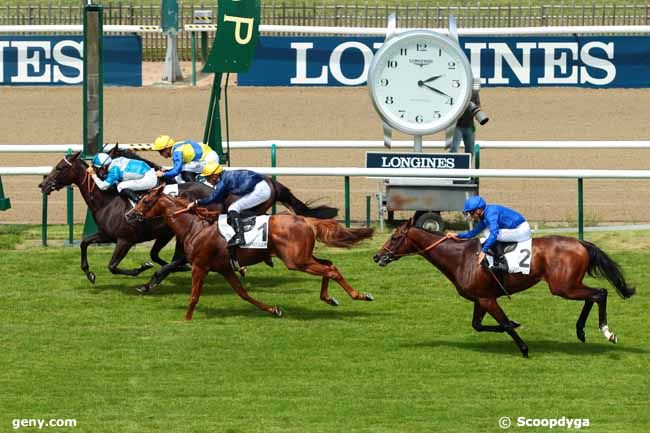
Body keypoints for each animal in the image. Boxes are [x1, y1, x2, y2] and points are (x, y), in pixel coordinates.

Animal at [130, 186, 374, 320]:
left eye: (145, 200)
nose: (129, 215)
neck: (195, 226)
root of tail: (305, 220)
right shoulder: (225, 268)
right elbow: (244, 294)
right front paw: (274, 309)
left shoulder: (200, 266)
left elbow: (193, 296)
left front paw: (186, 319)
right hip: (303, 257)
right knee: (329, 264)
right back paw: (330, 298)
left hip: (296, 261)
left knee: (330, 270)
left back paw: (360, 295)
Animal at [374, 219, 632, 358]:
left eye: (395, 237)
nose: (377, 256)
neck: (462, 258)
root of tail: (580, 242)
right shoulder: (480, 298)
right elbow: (478, 325)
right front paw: (515, 328)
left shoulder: (488, 299)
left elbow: (505, 323)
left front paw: (525, 349)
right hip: (569, 285)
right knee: (593, 295)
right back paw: (580, 331)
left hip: (563, 287)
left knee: (600, 293)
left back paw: (607, 332)